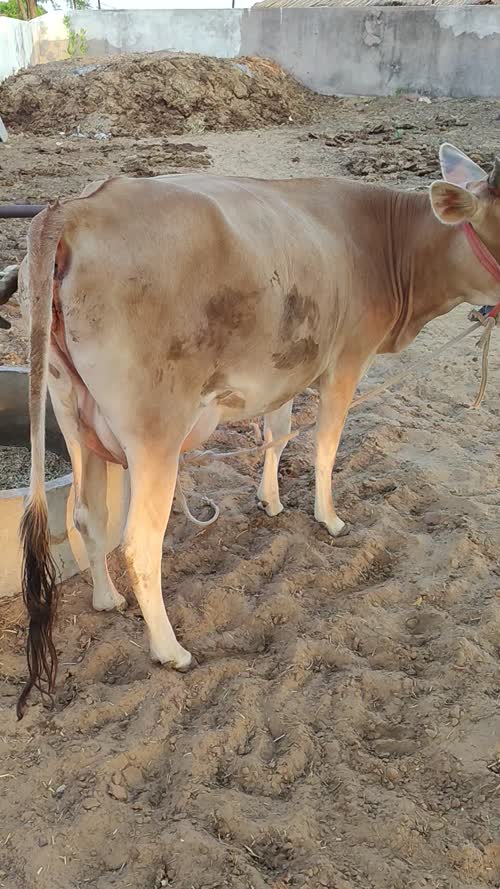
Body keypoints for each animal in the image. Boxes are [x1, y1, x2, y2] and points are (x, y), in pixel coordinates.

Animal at [5, 142, 500, 717]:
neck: (386, 243)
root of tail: (74, 208)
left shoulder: (286, 368)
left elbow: (277, 430)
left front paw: (271, 500)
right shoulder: (347, 361)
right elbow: (325, 447)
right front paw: (329, 519)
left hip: (71, 410)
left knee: (88, 515)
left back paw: (107, 599)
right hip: (154, 431)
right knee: (140, 543)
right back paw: (170, 650)